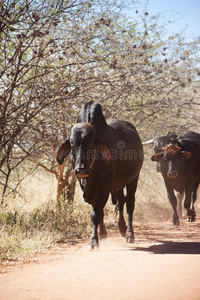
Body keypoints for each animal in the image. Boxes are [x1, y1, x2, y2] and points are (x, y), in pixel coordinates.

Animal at [57, 102, 143, 250]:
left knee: (129, 204)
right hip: (117, 184)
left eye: (91, 143)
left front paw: (93, 241)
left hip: (133, 178)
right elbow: (100, 212)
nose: (81, 170)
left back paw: (129, 235)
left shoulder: (104, 185)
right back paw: (121, 227)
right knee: (121, 202)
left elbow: (96, 213)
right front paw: (102, 235)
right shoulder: (86, 187)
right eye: (72, 143)